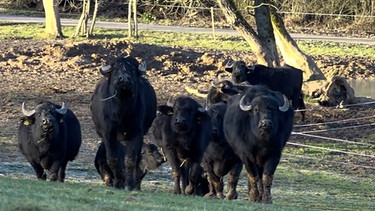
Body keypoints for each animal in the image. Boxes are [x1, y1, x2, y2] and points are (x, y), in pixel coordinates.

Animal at [90, 55, 157, 190]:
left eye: (132, 69)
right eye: (116, 69)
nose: (124, 79)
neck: (122, 112)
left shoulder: (137, 133)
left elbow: (130, 159)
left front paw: (129, 184)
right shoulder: (108, 133)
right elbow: (113, 159)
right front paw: (118, 182)